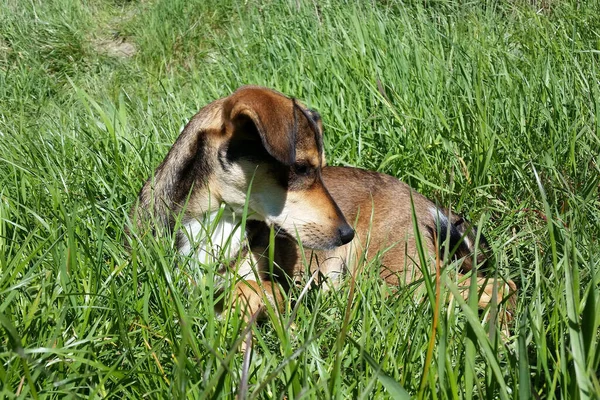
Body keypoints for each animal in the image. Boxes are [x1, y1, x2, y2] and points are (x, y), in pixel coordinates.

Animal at [130, 87, 516, 332]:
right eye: (301, 169)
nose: (347, 234)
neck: (214, 219)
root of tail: (424, 201)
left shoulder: (273, 285)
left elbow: (248, 288)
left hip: (396, 274)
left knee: (503, 285)